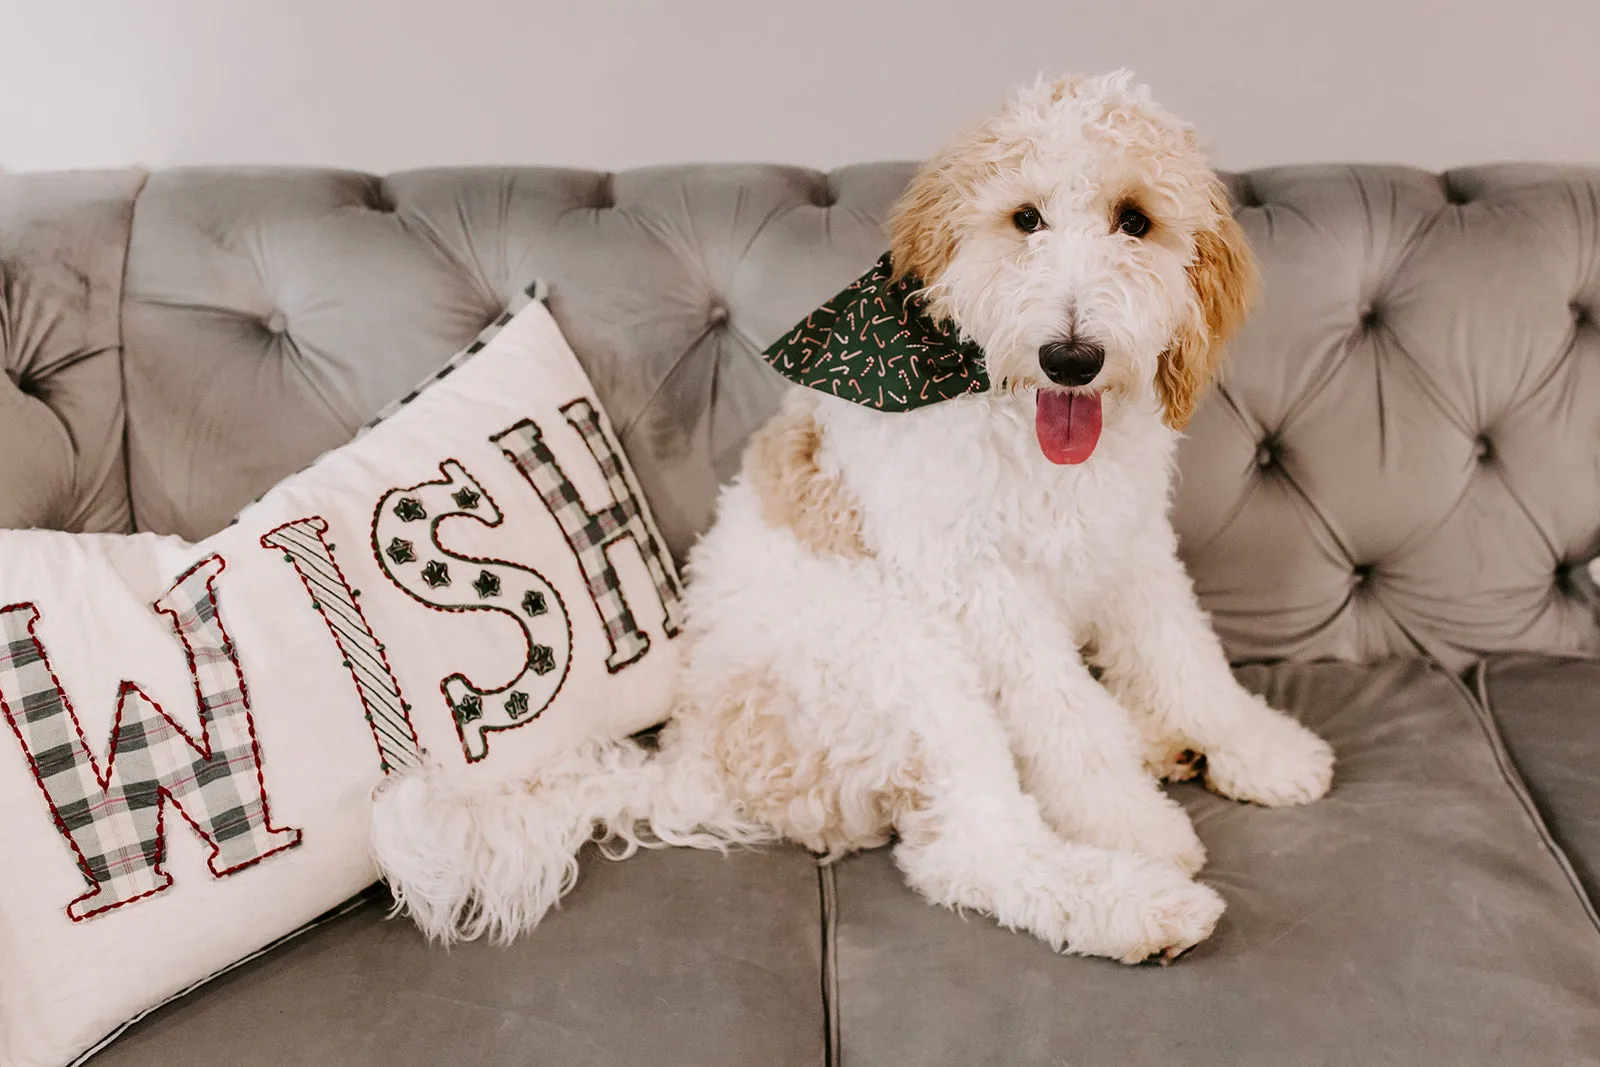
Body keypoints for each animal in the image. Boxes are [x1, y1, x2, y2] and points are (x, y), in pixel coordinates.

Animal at [374, 70, 1337, 966]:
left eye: (1135, 220)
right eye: (1025, 218)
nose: (1071, 357)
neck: (1010, 414)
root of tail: (693, 762)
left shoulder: (1130, 541)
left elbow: (1186, 654)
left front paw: (1255, 746)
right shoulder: (983, 589)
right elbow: (1068, 719)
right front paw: (1134, 824)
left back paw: (1165, 748)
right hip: (909, 659)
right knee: (969, 848)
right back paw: (1138, 904)